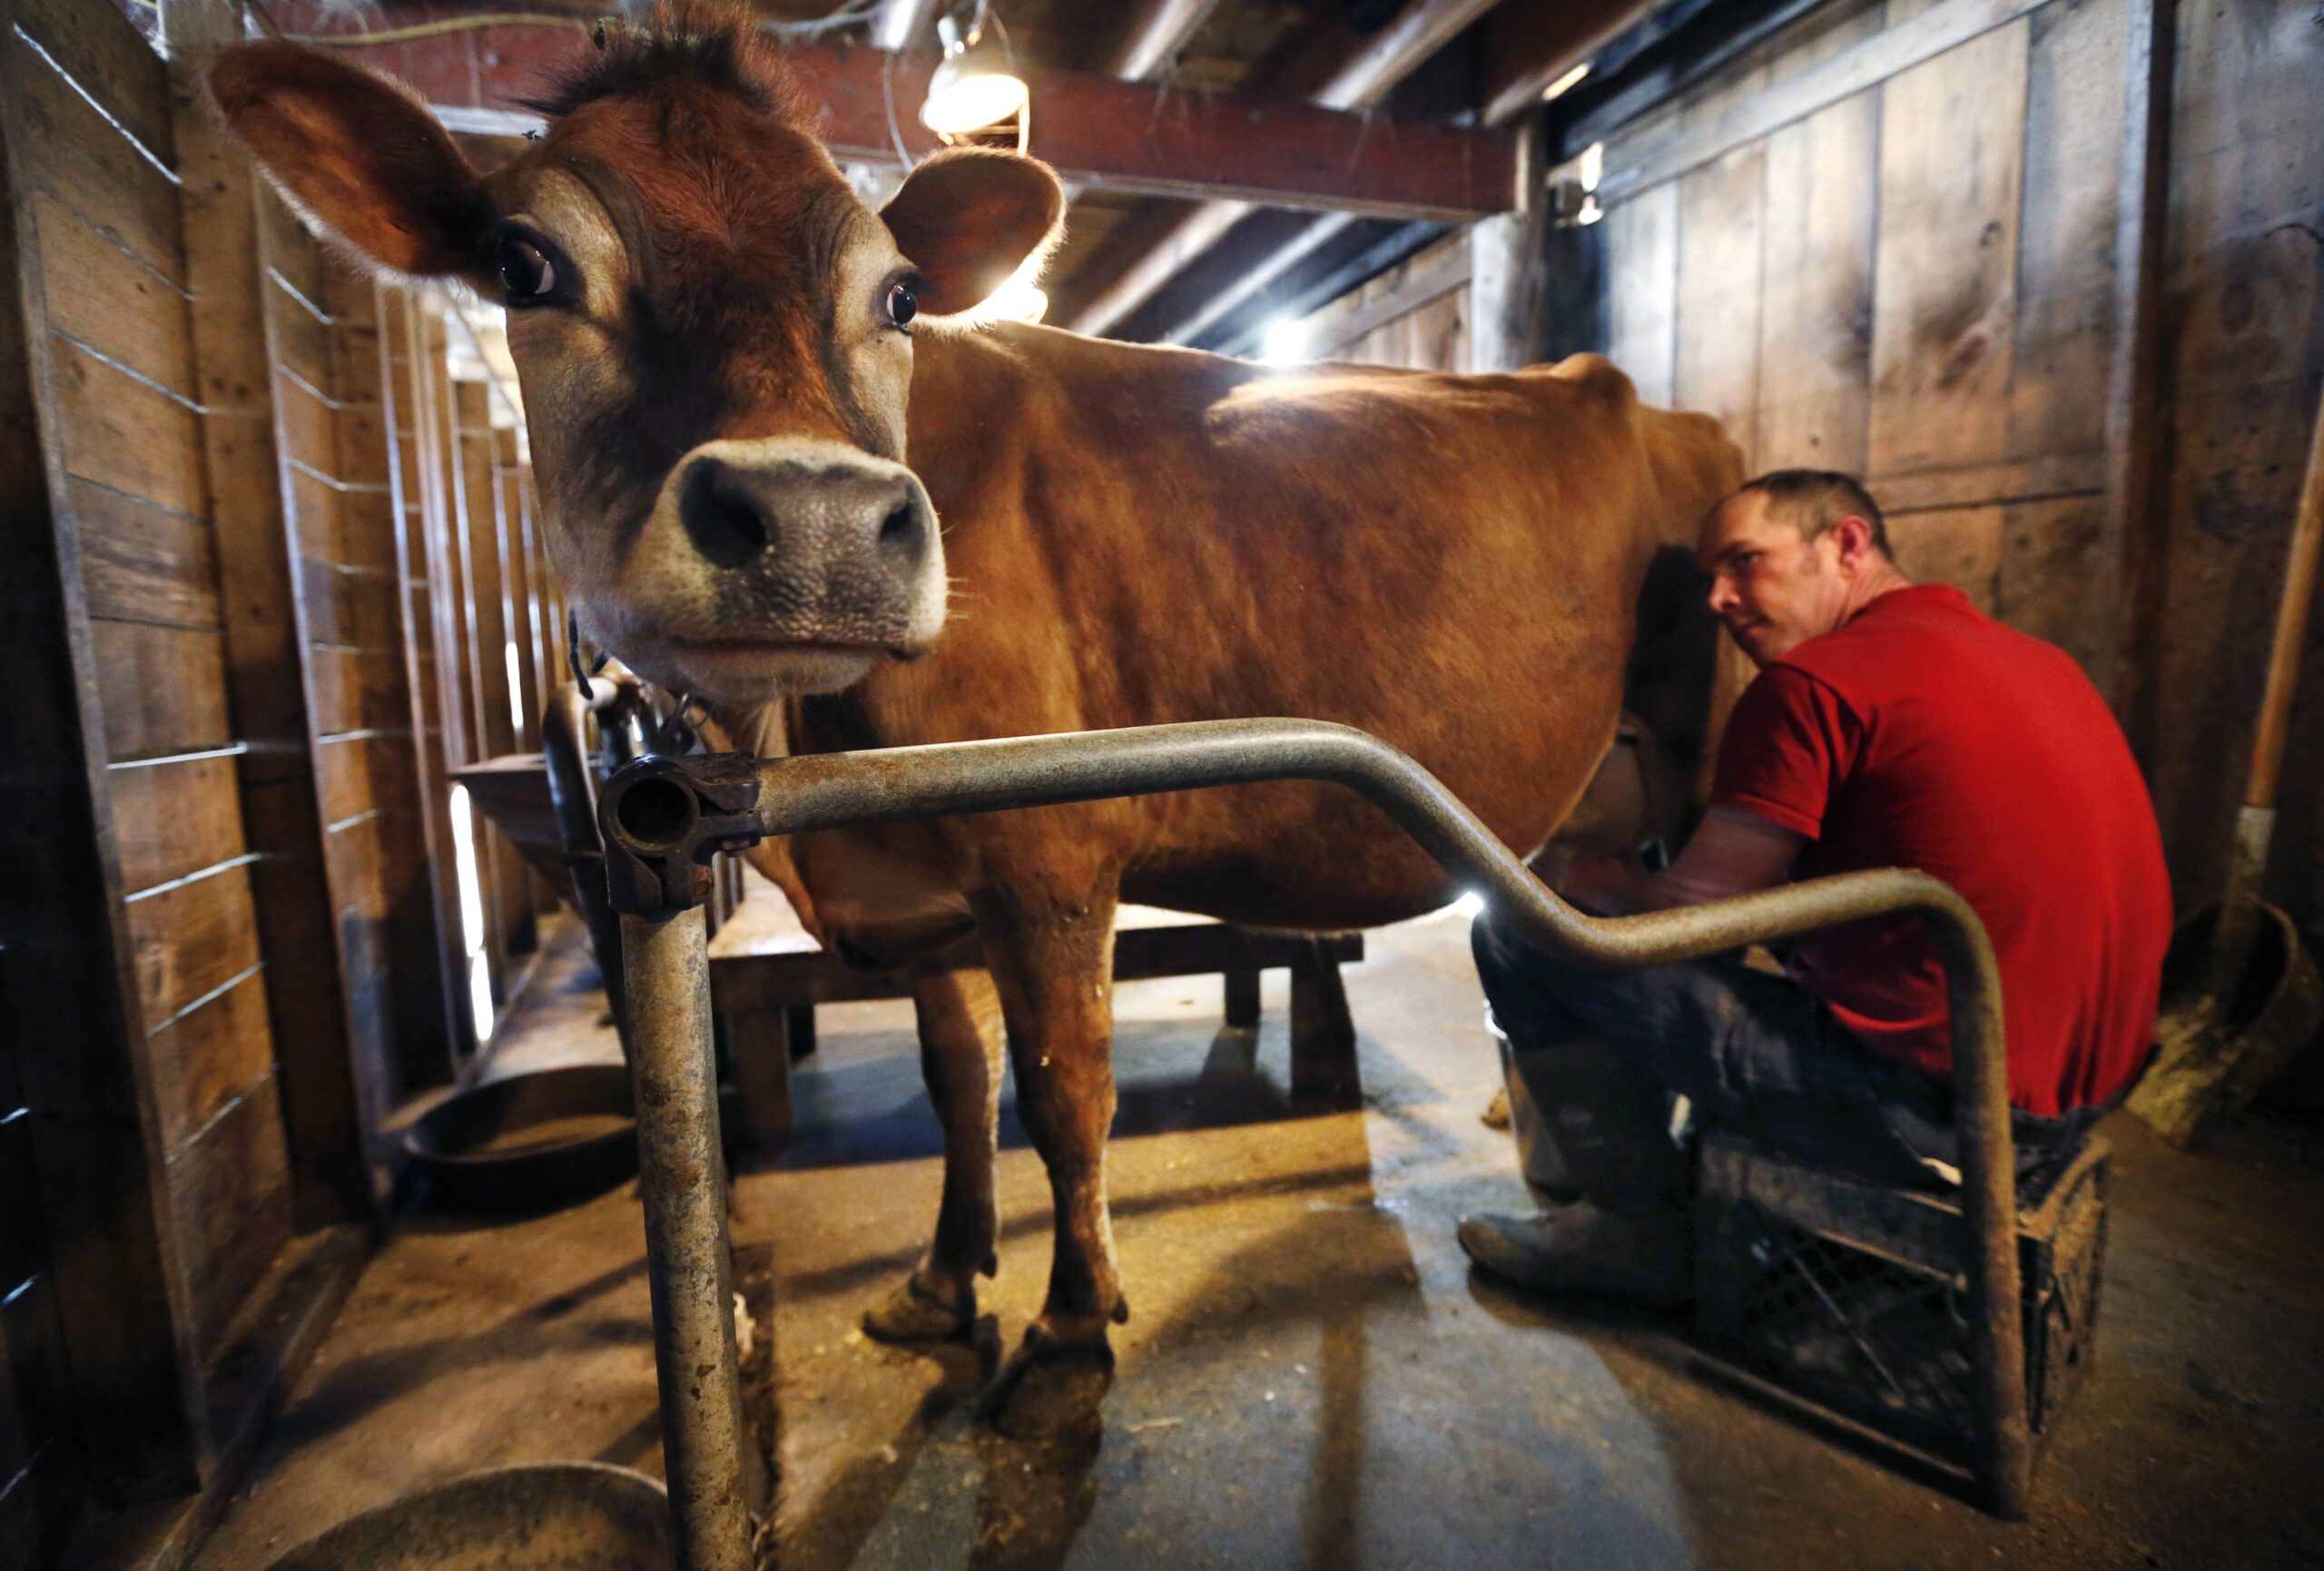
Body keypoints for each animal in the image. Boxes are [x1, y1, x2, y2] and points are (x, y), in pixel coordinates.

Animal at [210, 17, 1742, 1433]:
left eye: (896, 291)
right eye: (524, 265)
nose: (816, 522)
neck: (812, 757)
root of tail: (1652, 403)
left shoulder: (1049, 856)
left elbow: (1067, 1096)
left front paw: (1068, 1332)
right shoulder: (923, 893)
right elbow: (962, 1085)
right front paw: (946, 1285)